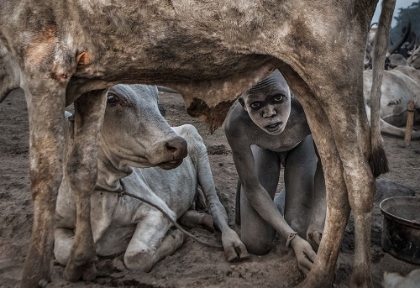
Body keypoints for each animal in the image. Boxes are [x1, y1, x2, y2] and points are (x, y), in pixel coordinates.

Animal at [54, 84, 248, 272]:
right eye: (111, 99)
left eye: (156, 98)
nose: (179, 145)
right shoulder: (59, 225)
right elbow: (65, 253)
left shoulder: (157, 212)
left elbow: (135, 257)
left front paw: (176, 235)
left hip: (200, 152)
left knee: (216, 206)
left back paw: (231, 241)